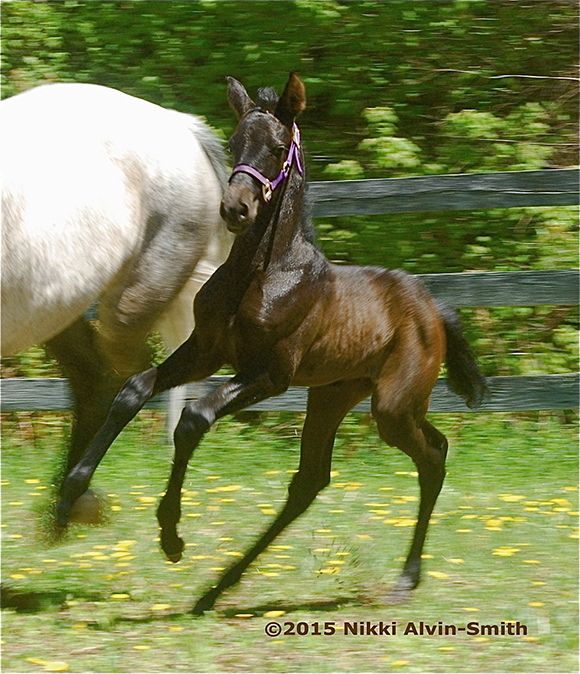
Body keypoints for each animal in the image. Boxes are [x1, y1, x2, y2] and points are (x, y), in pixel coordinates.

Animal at [1, 82, 231, 522]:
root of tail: (181, 125)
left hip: (130, 303)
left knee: (127, 380)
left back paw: (72, 499)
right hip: (53, 308)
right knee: (93, 379)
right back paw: (71, 507)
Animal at [55, 73, 487, 613]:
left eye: (279, 149)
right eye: (234, 142)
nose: (234, 209)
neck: (261, 274)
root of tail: (434, 308)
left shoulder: (272, 374)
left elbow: (194, 419)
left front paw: (171, 534)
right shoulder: (208, 350)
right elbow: (133, 390)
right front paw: (68, 498)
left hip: (392, 405)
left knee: (432, 456)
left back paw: (406, 580)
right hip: (333, 394)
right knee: (312, 480)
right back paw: (218, 587)